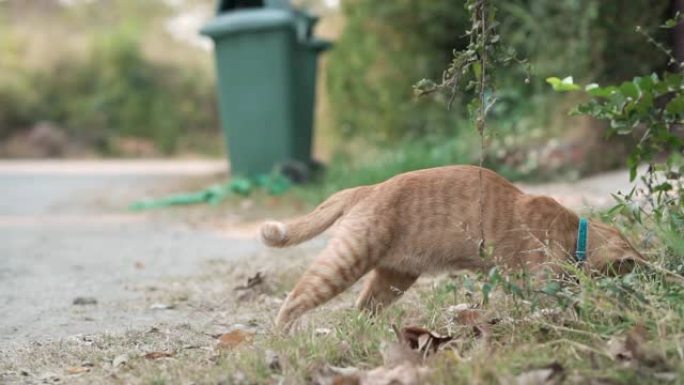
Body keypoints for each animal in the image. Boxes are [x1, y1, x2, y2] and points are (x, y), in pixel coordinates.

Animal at [260, 165, 640, 330]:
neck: (574, 232)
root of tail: (367, 188)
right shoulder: (540, 282)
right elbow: (559, 302)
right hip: (346, 261)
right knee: (293, 301)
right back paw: (283, 338)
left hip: (394, 278)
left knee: (362, 308)